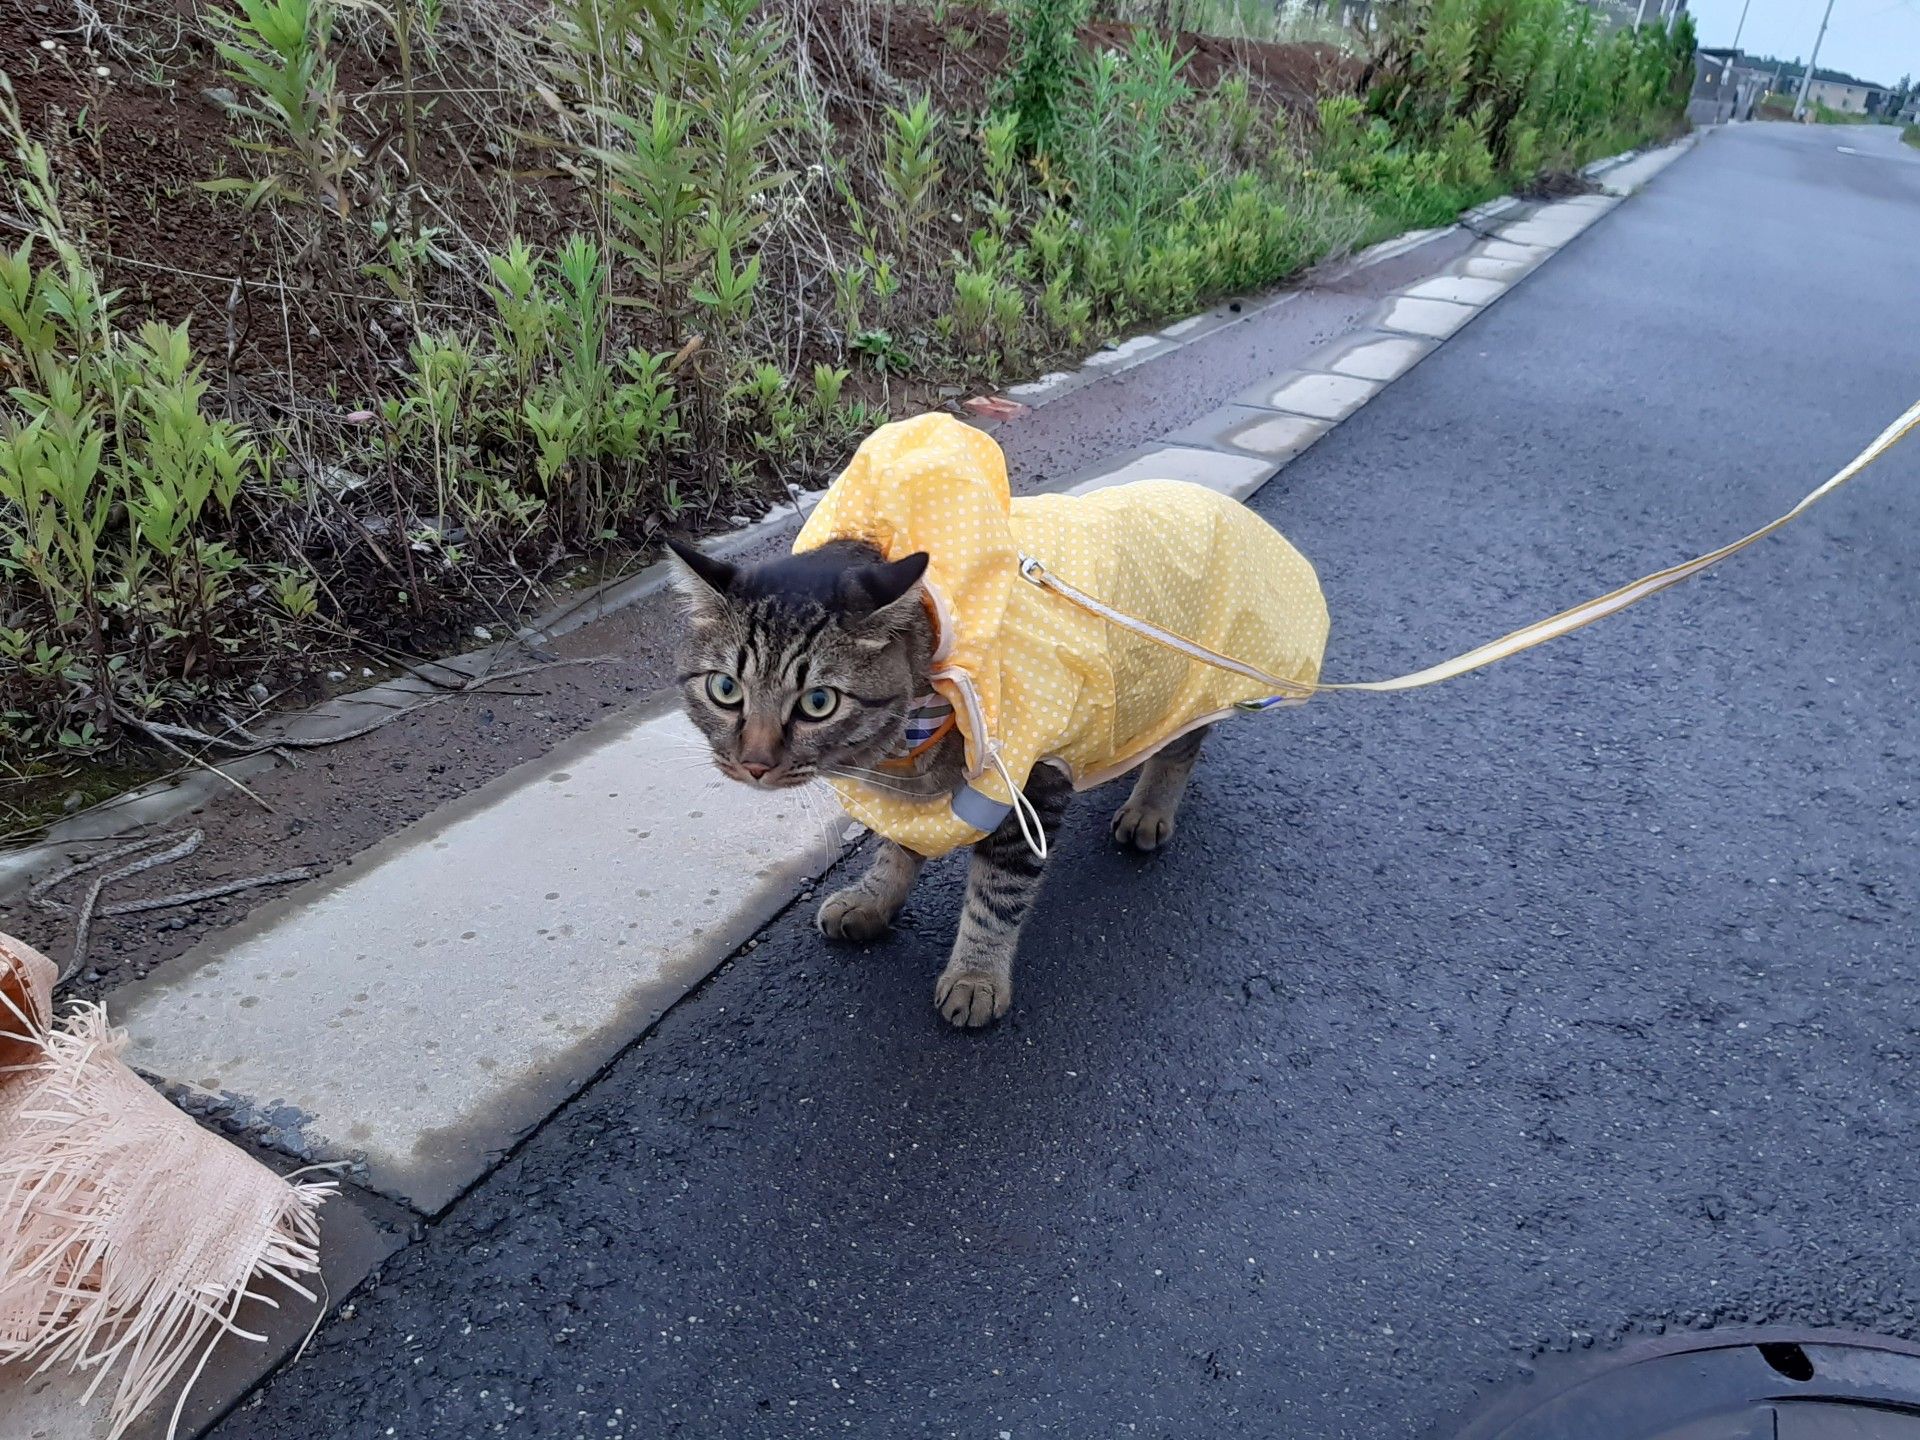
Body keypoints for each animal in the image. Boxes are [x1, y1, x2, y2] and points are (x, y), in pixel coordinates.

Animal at [664, 537, 1198, 1029]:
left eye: (818, 702)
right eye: (725, 689)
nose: (753, 763)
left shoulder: (1029, 787)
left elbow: (999, 893)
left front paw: (976, 975)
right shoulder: (901, 793)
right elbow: (897, 844)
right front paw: (874, 897)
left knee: (1181, 745)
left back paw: (1149, 809)